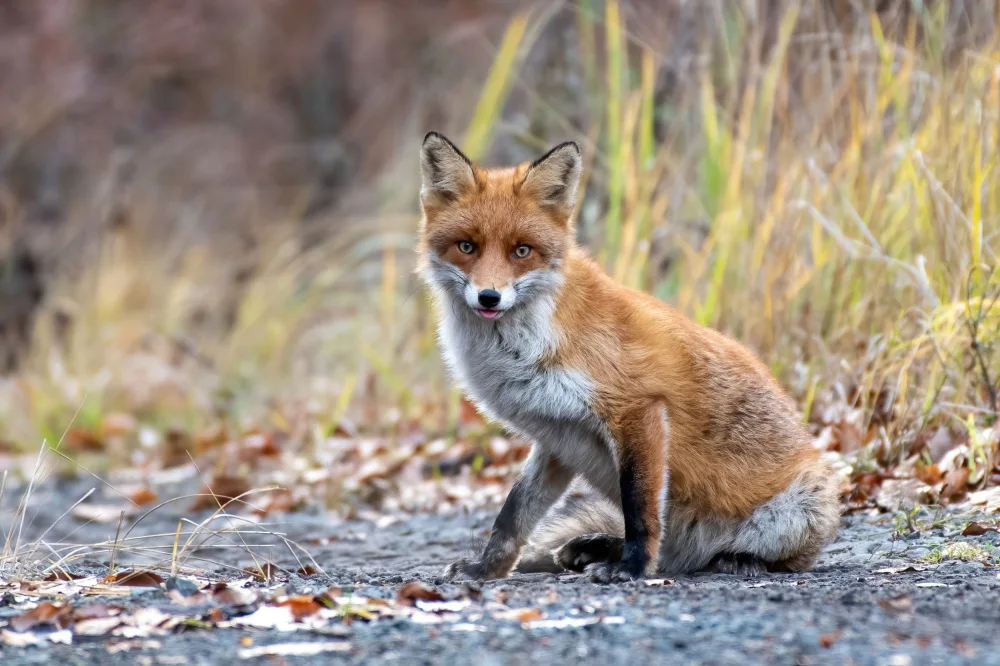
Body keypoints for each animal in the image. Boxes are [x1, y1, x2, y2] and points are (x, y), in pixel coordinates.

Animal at [416, 131, 840, 583]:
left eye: (522, 251)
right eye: (467, 247)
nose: (489, 297)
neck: (525, 346)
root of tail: (695, 552)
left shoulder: (637, 409)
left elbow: (640, 509)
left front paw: (633, 568)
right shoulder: (558, 435)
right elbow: (513, 514)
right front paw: (486, 569)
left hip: (804, 505)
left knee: (771, 557)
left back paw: (737, 559)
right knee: (658, 550)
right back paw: (591, 548)